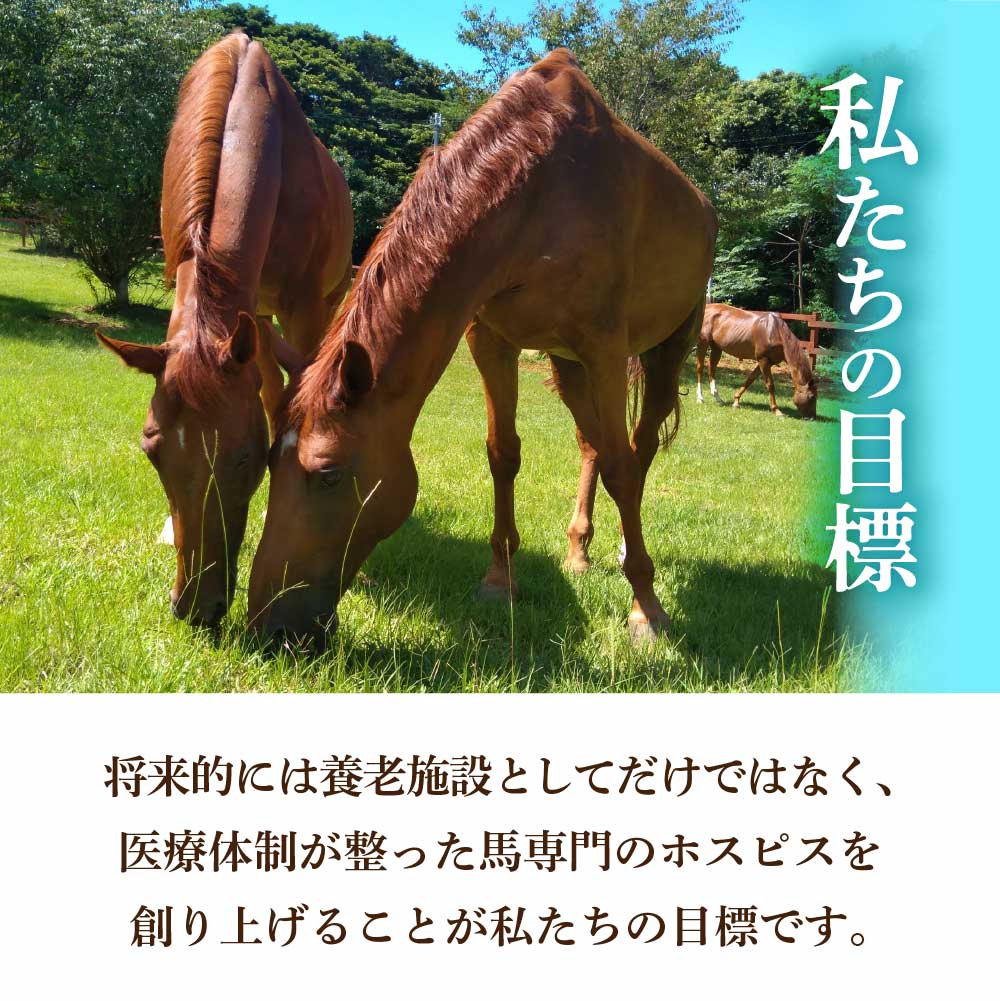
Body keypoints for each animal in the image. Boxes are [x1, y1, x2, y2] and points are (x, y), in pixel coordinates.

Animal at [247, 48, 716, 644]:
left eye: (328, 474)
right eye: (269, 461)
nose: (267, 624)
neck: (539, 188)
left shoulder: (606, 348)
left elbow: (622, 469)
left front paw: (646, 608)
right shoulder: (492, 340)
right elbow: (503, 453)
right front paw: (500, 579)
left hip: (665, 349)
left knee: (639, 447)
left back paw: (622, 554)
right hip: (567, 364)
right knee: (591, 443)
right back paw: (579, 551)